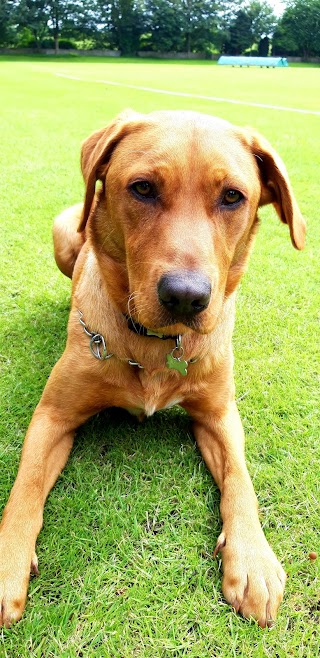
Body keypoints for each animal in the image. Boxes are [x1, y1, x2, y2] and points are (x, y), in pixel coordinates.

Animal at [0, 109, 304, 624]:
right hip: (64, 230)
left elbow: (241, 479)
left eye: (232, 196)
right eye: (142, 188)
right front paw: (6, 562)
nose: (186, 297)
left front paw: (253, 558)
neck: (154, 345)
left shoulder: (220, 415)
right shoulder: (52, 417)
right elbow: (26, 486)